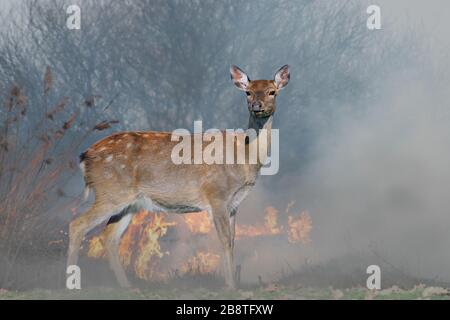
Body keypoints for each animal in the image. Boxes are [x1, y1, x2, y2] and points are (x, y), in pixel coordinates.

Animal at [67, 64, 292, 288]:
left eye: (272, 91)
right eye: (248, 92)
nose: (256, 106)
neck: (245, 157)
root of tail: (85, 156)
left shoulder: (234, 204)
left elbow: (233, 241)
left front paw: (233, 283)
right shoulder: (217, 195)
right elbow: (225, 241)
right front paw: (230, 285)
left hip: (129, 202)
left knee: (109, 236)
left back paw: (127, 286)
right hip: (111, 191)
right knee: (77, 225)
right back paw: (72, 283)